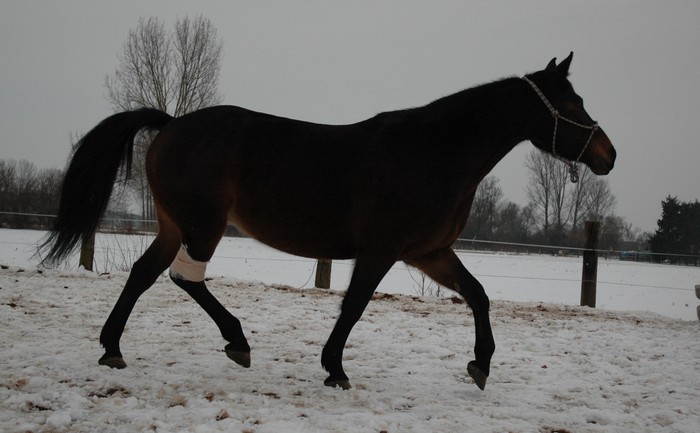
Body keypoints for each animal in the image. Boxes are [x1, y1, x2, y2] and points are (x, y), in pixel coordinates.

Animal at [41, 52, 616, 390]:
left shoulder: (429, 253)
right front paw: (335, 369)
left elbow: (478, 294)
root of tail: (171, 123)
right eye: (573, 103)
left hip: (175, 226)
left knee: (144, 274)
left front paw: (481, 364)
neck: (434, 153)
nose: (608, 155)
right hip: (203, 226)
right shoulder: (382, 251)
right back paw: (237, 342)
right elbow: (355, 306)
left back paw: (113, 349)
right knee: (186, 278)